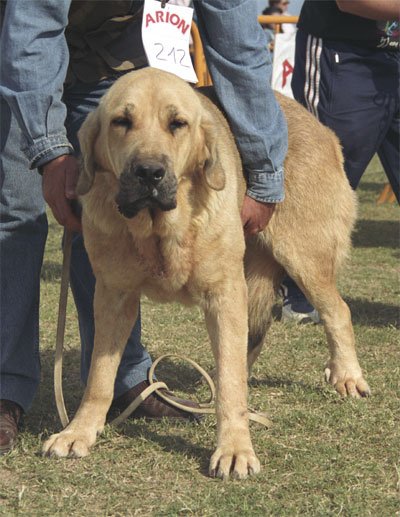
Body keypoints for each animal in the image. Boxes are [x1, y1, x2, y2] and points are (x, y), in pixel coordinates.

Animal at [42, 67, 370, 476]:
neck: (161, 230)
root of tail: (320, 126)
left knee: (337, 311)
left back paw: (348, 376)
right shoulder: (113, 296)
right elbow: (100, 376)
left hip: (305, 258)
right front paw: (79, 431)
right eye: (121, 121)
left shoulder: (225, 293)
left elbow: (231, 383)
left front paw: (235, 448)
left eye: (177, 124)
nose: (149, 172)